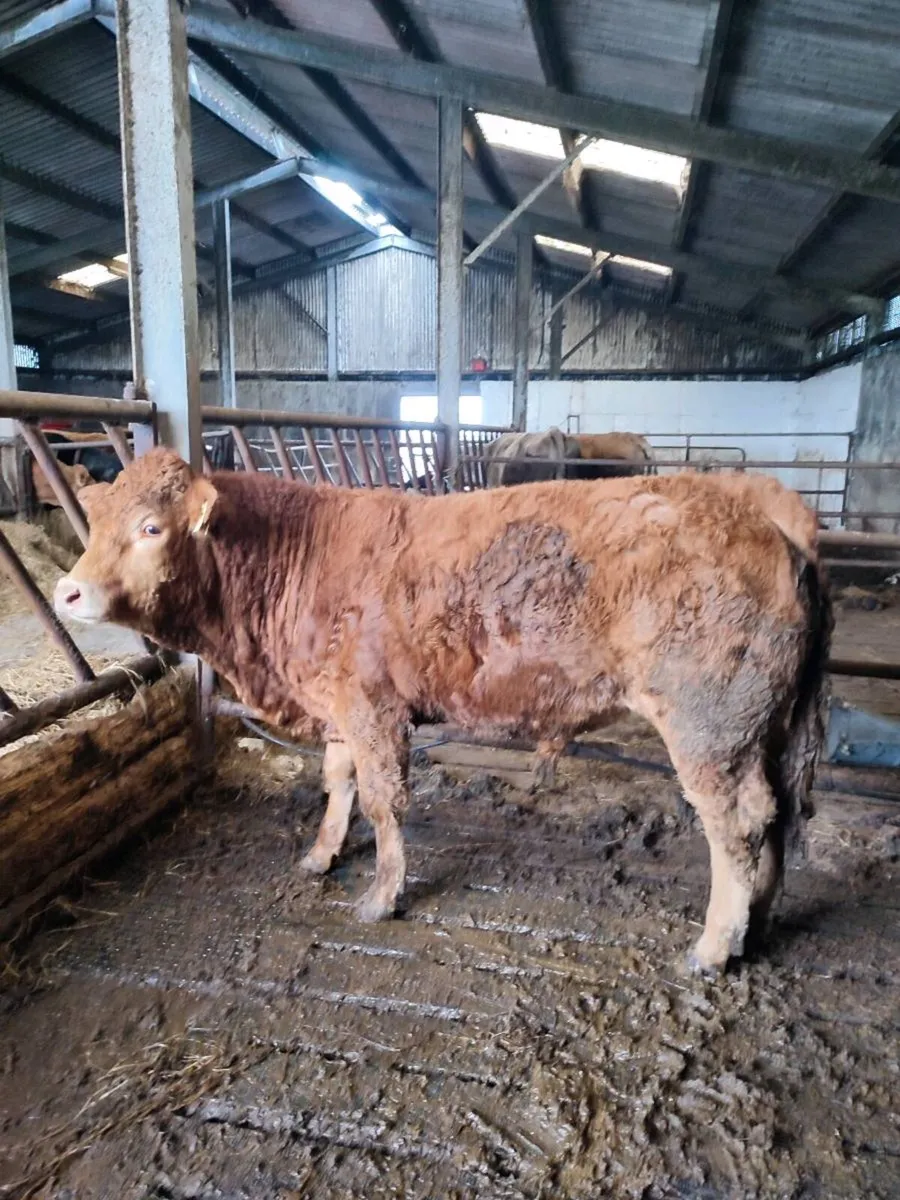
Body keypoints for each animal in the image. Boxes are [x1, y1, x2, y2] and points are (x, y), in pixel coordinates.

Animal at [54, 449, 831, 975]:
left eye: (152, 528)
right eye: (93, 522)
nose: (69, 592)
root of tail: (757, 502)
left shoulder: (373, 709)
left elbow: (383, 800)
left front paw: (382, 895)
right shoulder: (340, 707)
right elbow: (337, 784)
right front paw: (320, 855)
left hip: (709, 728)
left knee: (736, 827)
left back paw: (714, 946)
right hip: (760, 729)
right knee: (774, 814)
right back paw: (757, 922)